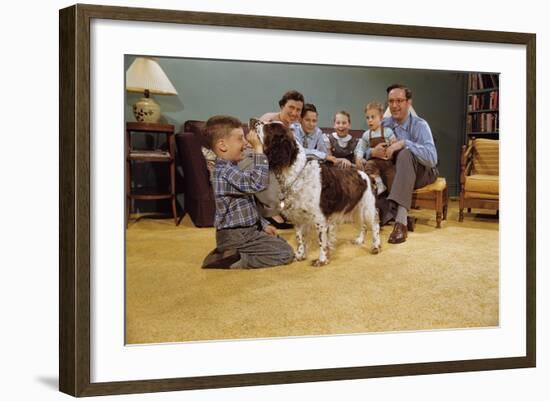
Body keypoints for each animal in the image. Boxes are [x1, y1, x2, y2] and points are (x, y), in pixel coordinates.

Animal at [252, 118, 382, 266]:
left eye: (270, 127)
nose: (253, 120)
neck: (296, 174)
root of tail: (367, 175)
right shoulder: (298, 217)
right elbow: (299, 239)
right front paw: (300, 255)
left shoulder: (320, 218)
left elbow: (321, 241)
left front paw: (322, 259)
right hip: (357, 208)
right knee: (364, 225)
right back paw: (360, 240)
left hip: (368, 207)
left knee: (375, 225)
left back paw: (376, 246)